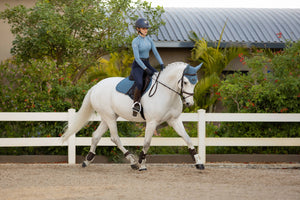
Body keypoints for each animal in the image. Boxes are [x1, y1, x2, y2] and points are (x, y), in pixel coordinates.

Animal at [61, 61, 204, 170]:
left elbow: (187, 139)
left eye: (195, 82)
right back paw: (132, 161)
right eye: (185, 82)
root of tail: (96, 86)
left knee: (96, 135)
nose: (190, 103)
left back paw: (87, 160)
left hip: (108, 117)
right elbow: (146, 143)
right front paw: (142, 164)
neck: (166, 93)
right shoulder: (152, 122)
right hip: (109, 117)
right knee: (115, 138)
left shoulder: (174, 120)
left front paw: (198, 162)